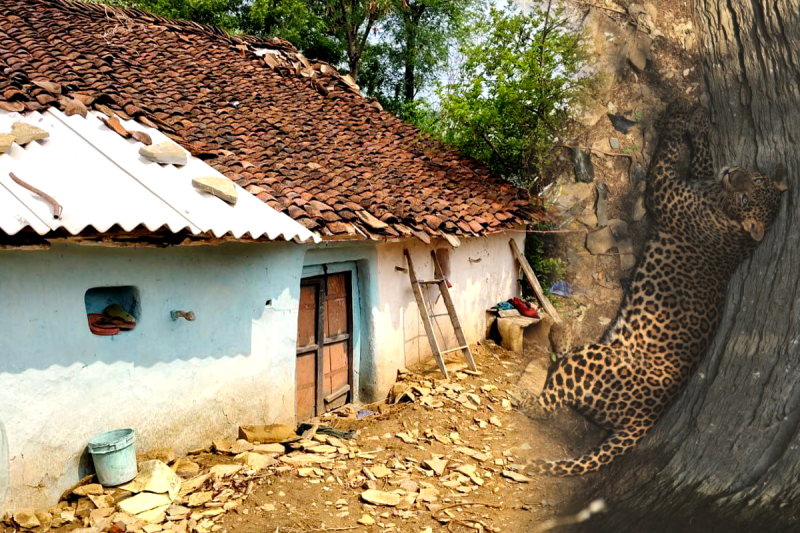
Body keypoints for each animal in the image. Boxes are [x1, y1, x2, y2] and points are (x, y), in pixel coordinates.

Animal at [520, 102, 787, 476]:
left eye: (746, 196)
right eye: (755, 182)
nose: (733, 172)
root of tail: (646, 421)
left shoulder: (664, 187)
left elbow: (669, 152)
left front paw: (676, 115)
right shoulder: (699, 178)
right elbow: (702, 156)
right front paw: (697, 121)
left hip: (594, 361)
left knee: (551, 404)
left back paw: (528, 396)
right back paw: (560, 336)